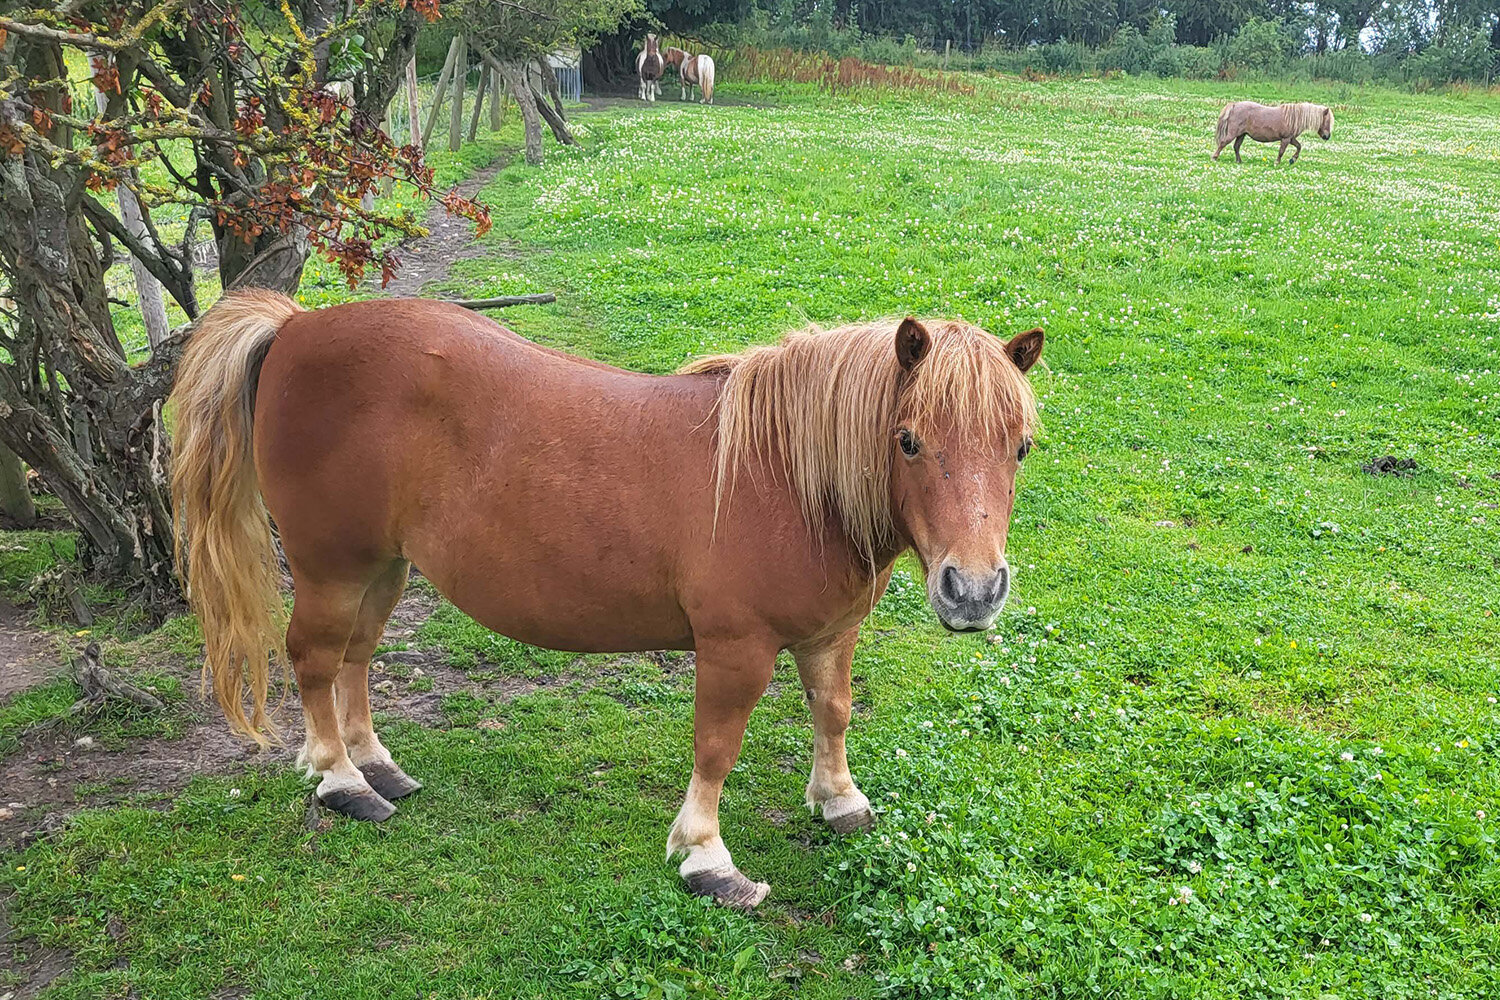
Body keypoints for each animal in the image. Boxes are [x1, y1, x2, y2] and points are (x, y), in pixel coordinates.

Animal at [170, 294, 1044, 908]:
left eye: (1021, 446)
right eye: (908, 440)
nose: (973, 591)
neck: (785, 478)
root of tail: (294, 327)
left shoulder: (831, 635)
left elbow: (833, 714)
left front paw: (838, 800)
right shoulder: (736, 648)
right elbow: (716, 748)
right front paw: (706, 858)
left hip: (383, 568)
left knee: (354, 659)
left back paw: (373, 764)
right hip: (332, 568)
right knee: (315, 661)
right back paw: (340, 780)